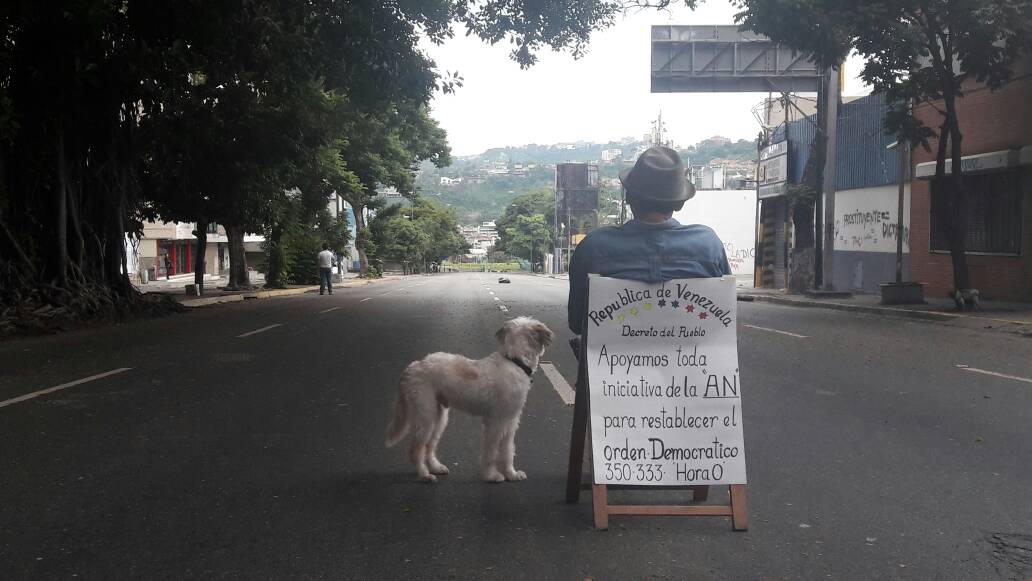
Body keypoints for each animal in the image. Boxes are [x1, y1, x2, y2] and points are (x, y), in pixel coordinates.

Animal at [383, 315, 553, 485]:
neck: (515, 361)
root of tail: (413, 366)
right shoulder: (496, 422)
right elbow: (491, 451)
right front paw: (491, 476)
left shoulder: (510, 421)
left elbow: (508, 450)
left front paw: (511, 474)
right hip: (426, 416)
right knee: (416, 449)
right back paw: (424, 474)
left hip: (439, 418)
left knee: (429, 446)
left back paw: (435, 467)